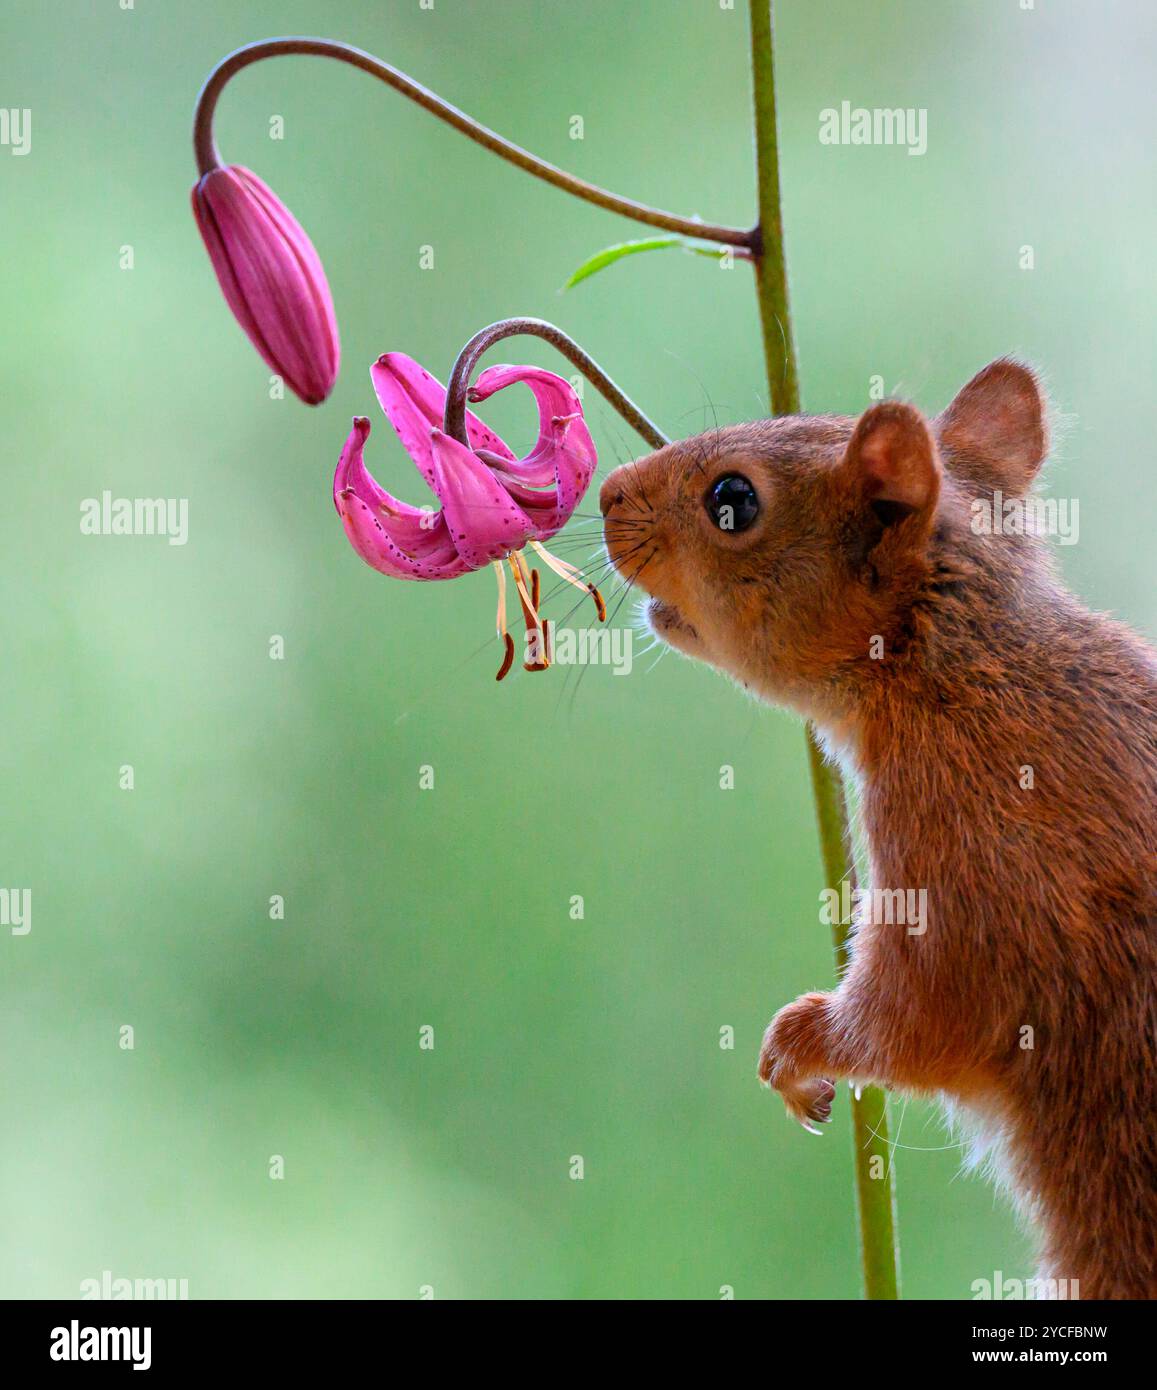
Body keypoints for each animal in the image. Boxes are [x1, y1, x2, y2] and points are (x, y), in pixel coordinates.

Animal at [600, 361, 1151, 1301]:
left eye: (732, 502)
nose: (604, 492)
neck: (954, 665)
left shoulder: (965, 847)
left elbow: (929, 1013)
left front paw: (801, 1043)